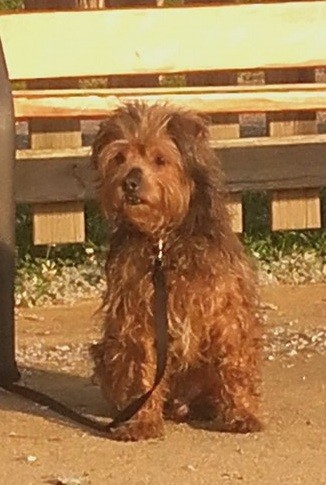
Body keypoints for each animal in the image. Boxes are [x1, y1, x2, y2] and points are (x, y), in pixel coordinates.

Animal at [90, 100, 262, 440]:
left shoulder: (227, 309)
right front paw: (141, 421)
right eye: (119, 157)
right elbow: (141, 368)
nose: (129, 183)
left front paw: (242, 413)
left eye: (160, 159)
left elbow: (234, 362)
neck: (163, 239)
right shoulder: (137, 315)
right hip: (104, 351)